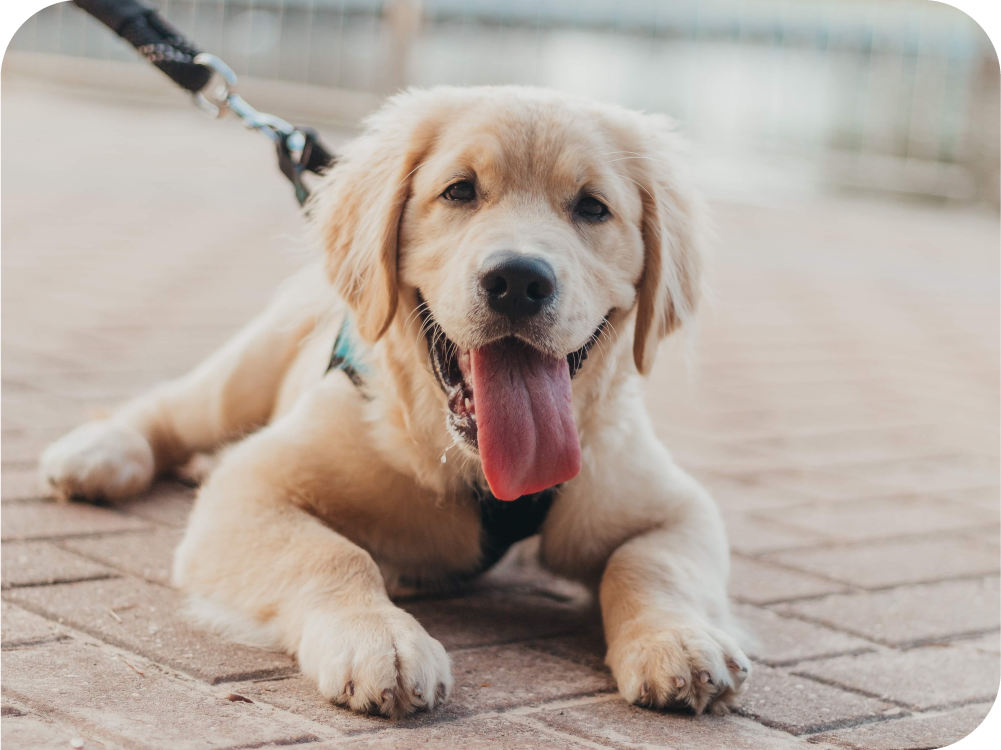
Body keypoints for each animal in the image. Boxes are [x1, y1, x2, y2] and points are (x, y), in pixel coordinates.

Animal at [43, 84, 752, 716]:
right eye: (460, 190)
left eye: (592, 208)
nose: (518, 280)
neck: (475, 468)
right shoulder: (250, 487)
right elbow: (335, 553)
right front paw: (380, 640)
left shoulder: (676, 506)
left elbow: (649, 563)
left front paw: (678, 638)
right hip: (245, 372)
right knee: (173, 408)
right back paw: (99, 453)